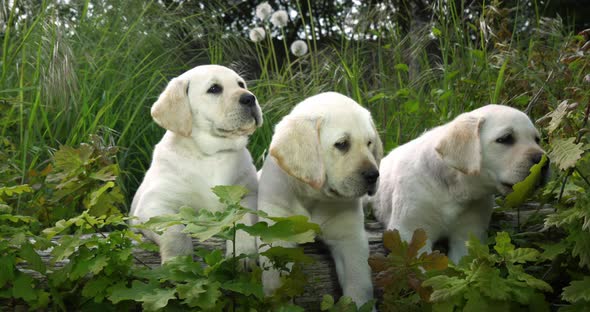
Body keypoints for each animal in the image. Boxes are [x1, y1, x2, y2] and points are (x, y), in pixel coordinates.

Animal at [133, 65, 264, 264]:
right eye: (214, 89)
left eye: (241, 84)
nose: (250, 98)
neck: (212, 154)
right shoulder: (152, 206)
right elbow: (174, 228)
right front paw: (178, 261)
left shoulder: (248, 194)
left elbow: (243, 218)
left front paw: (243, 254)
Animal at [260, 92, 384, 308]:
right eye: (342, 144)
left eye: (369, 143)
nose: (373, 175)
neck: (312, 197)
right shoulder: (277, 232)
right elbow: (276, 284)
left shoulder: (350, 239)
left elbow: (359, 285)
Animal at [374, 105, 552, 264]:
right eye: (505, 138)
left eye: (537, 140)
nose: (544, 161)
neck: (453, 189)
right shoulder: (410, 229)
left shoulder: (469, 232)